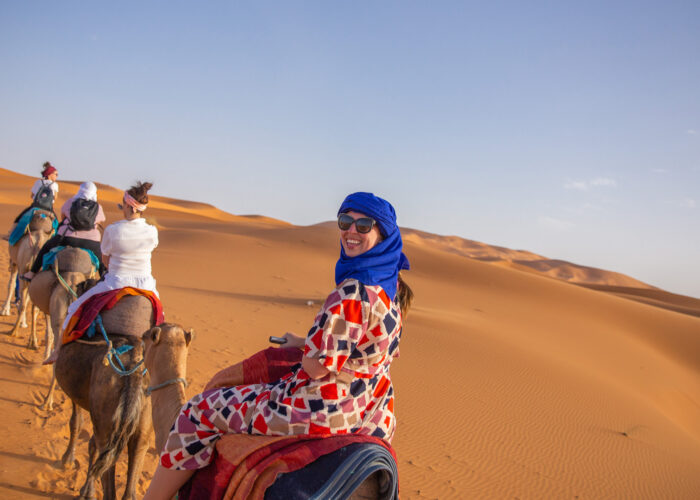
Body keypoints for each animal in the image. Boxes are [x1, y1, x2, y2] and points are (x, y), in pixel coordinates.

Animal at [2, 207, 55, 336]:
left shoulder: (15, 263)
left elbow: (11, 285)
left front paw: (5, 310)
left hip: (21, 266)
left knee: (23, 301)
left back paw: (15, 329)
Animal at [56, 294, 157, 498]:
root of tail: (133, 371)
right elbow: (90, 441)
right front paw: (86, 489)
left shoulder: (79, 397)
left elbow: (76, 423)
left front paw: (67, 460)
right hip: (143, 419)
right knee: (135, 453)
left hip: (107, 413)